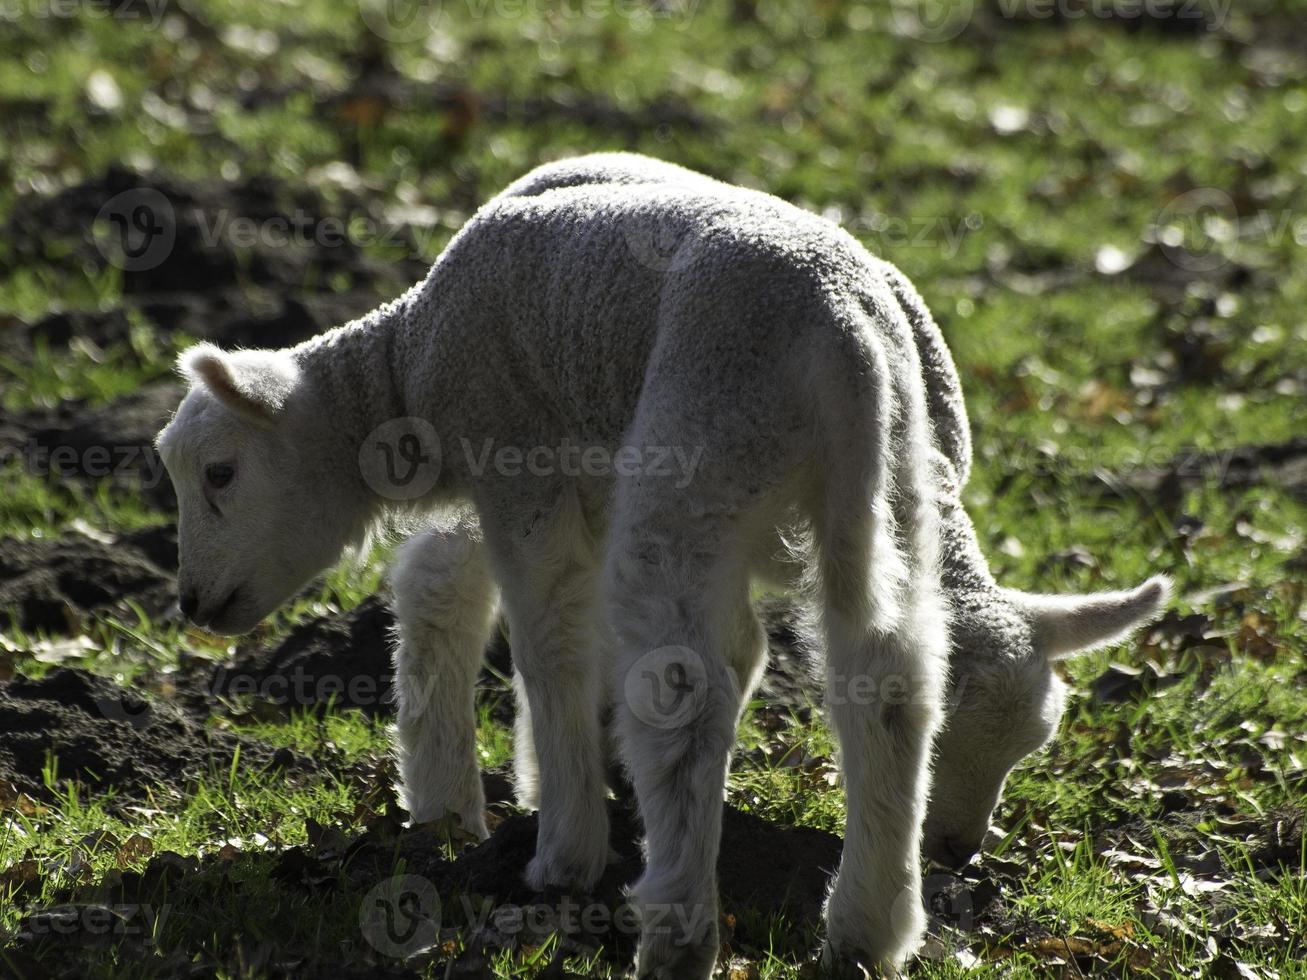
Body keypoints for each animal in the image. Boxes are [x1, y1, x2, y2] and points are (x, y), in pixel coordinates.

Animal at [158, 157, 1171, 977]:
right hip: (878, 494)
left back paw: (675, 930)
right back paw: (865, 928)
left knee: (682, 692)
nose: (193, 603)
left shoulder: (517, 461)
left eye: (219, 473)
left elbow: (544, 639)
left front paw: (560, 847)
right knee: (886, 681)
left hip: (701, 446)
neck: (407, 367)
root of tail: (846, 335)